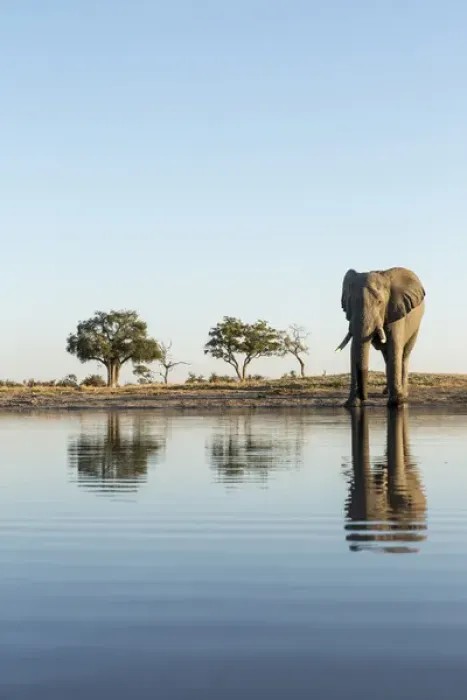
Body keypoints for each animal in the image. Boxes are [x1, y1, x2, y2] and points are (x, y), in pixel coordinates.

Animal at [336, 266, 425, 406]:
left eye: (379, 302)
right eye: (351, 303)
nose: (364, 397)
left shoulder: (396, 311)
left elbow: (394, 346)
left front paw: (397, 403)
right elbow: (354, 348)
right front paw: (352, 404)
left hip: (416, 326)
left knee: (404, 354)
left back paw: (403, 393)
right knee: (386, 355)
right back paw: (386, 392)